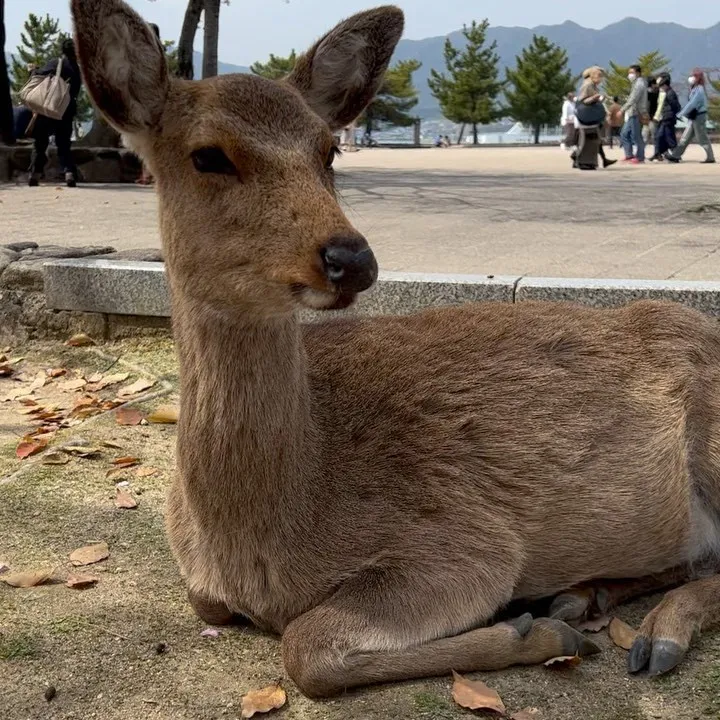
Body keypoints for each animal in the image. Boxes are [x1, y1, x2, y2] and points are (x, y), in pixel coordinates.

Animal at [70, 0, 720, 696]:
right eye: (208, 156)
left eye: (328, 149)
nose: (350, 257)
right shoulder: (203, 589)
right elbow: (215, 608)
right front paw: (548, 619)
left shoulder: (466, 544)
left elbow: (306, 645)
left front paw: (533, 630)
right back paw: (582, 597)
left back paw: (652, 635)